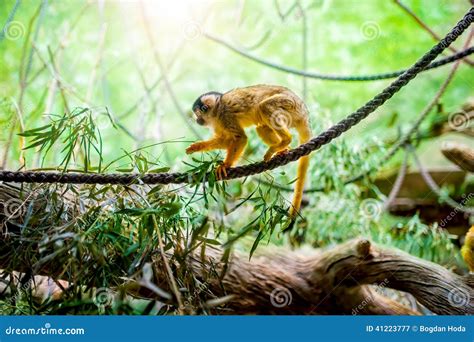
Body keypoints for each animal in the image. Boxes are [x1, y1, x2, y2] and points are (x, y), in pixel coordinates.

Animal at [185, 84, 312, 218]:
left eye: (198, 114)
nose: (197, 120)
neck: (216, 110)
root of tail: (304, 113)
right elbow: (227, 140)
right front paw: (197, 147)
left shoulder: (225, 115)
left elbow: (240, 138)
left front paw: (225, 165)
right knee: (261, 128)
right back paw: (283, 148)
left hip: (291, 104)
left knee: (264, 106)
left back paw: (285, 140)